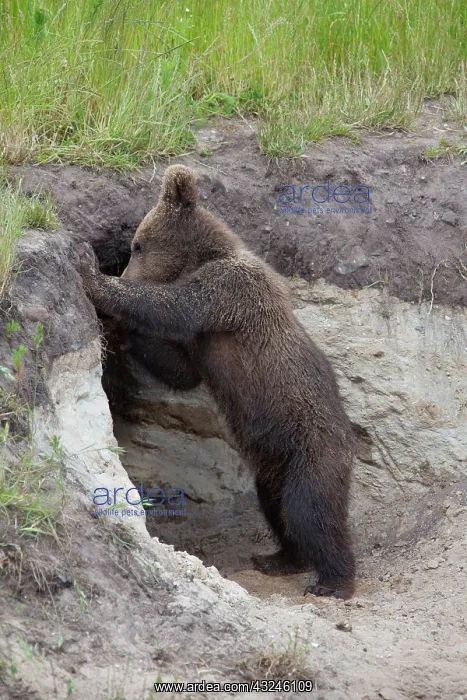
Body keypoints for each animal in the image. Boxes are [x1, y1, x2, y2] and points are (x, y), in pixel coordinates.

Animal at [79, 164, 356, 599]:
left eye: (138, 245)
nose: (122, 268)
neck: (203, 257)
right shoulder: (199, 344)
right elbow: (180, 370)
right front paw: (118, 329)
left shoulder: (227, 294)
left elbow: (173, 306)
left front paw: (93, 275)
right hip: (273, 462)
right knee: (276, 508)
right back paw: (280, 558)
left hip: (313, 450)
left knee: (310, 512)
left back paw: (334, 581)